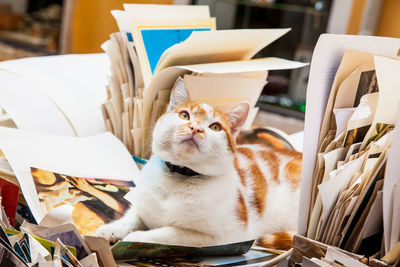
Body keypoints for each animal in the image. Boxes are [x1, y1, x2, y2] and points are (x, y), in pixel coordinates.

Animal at [97, 78, 302, 251]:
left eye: (215, 127)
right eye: (184, 115)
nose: (195, 128)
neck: (177, 178)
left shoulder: (223, 237)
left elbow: (166, 233)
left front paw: (134, 238)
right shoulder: (143, 204)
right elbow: (132, 214)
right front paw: (111, 229)